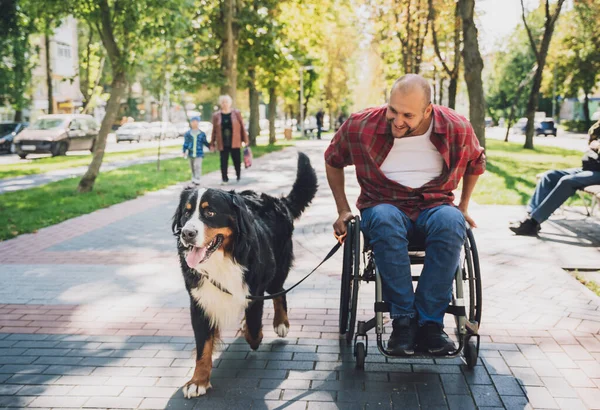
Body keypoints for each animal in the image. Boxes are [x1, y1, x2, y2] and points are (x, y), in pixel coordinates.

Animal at [170, 151, 316, 398]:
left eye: (210, 212)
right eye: (186, 212)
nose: (187, 233)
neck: (222, 258)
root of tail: (277, 201)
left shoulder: (254, 291)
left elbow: (255, 329)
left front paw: (251, 331)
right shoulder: (199, 301)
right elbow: (203, 346)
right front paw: (198, 380)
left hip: (277, 268)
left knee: (279, 292)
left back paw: (281, 322)